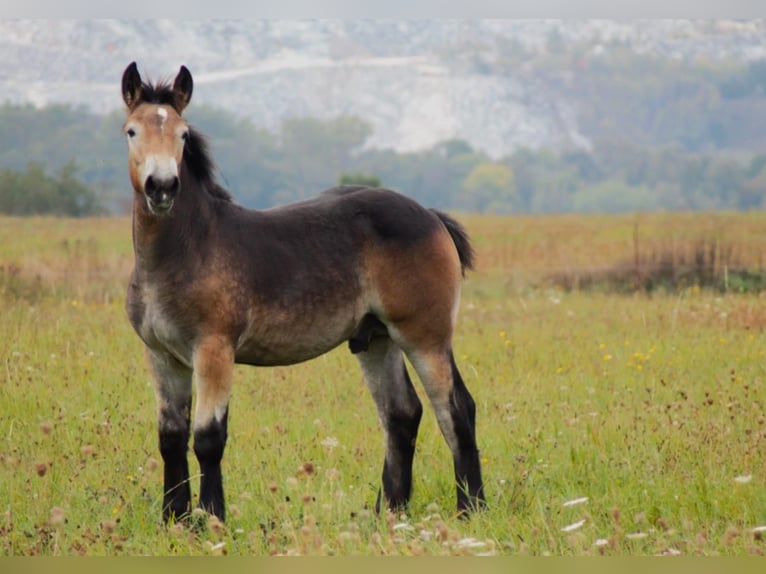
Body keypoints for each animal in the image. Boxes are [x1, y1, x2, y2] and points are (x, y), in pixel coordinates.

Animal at [120, 61, 485, 523]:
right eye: (131, 131)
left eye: (183, 134)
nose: (162, 186)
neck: (188, 247)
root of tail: (431, 216)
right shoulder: (162, 356)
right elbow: (170, 437)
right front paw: (175, 519)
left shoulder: (213, 350)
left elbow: (207, 438)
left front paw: (213, 518)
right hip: (375, 340)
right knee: (402, 414)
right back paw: (388, 513)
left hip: (425, 337)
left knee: (455, 410)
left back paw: (471, 509)